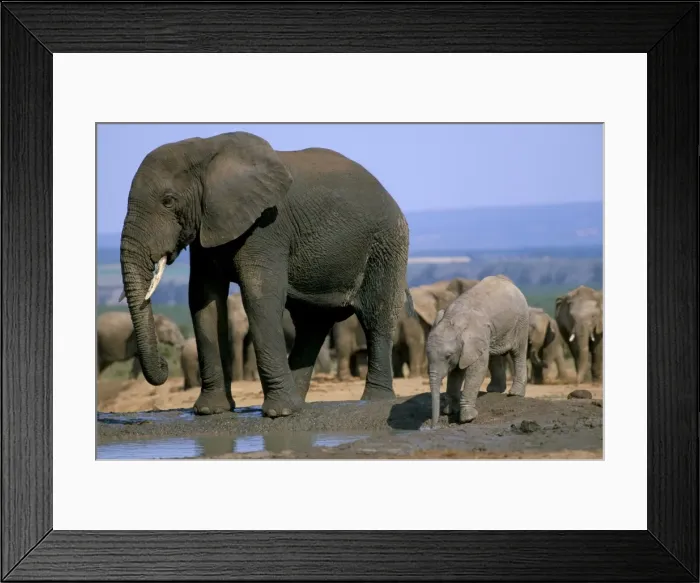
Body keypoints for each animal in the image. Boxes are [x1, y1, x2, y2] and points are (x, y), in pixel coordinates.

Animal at [118, 131, 411, 418]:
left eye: (168, 201)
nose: (165, 364)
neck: (207, 150)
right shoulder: (208, 227)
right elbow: (204, 299)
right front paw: (210, 411)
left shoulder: (266, 225)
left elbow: (259, 295)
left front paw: (277, 413)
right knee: (312, 325)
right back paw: (299, 404)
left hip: (387, 245)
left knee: (376, 318)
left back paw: (373, 401)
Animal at [426, 275, 529, 428]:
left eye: (448, 355)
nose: (433, 426)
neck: (453, 320)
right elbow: (456, 372)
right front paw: (450, 411)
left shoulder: (476, 337)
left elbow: (477, 369)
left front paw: (468, 418)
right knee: (494, 354)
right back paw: (494, 390)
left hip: (521, 321)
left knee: (518, 353)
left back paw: (515, 394)